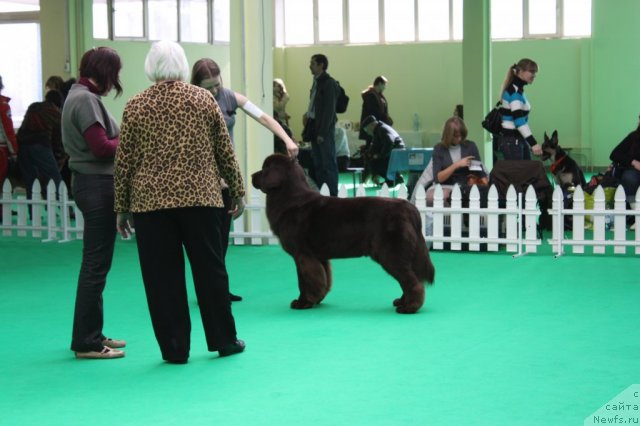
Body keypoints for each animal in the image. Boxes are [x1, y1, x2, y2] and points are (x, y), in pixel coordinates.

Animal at [250, 155, 436, 314]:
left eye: (264, 169)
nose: (252, 175)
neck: (290, 198)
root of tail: (410, 208)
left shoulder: (302, 255)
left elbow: (304, 281)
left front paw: (303, 302)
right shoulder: (318, 257)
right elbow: (323, 279)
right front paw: (317, 299)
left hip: (390, 254)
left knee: (411, 281)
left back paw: (409, 307)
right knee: (408, 279)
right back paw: (402, 302)